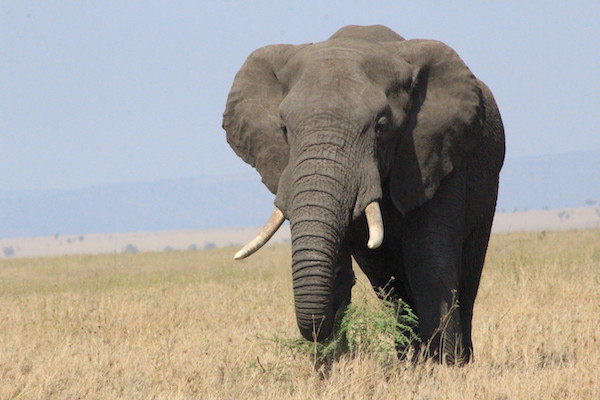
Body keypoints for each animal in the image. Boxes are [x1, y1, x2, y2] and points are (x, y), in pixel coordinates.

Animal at [223, 23, 504, 364]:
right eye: (284, 128)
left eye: (381, 126)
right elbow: (340, 271)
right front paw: (332, 367)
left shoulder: (439, 151)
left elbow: (428, 258)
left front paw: (444, 368)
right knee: (389, 283)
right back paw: (408, 358)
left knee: (466, 273)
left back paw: (455, 359)